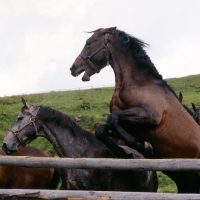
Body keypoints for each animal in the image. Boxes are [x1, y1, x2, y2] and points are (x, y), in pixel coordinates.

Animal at [70, 27, 200, 193]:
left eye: (89, 43)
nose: (73, 68)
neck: (139, 84)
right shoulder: (128, 124)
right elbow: (102, 129)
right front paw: (126, 152)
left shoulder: (151, 116)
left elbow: (112, 120)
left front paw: (143, 146)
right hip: (188, 182)